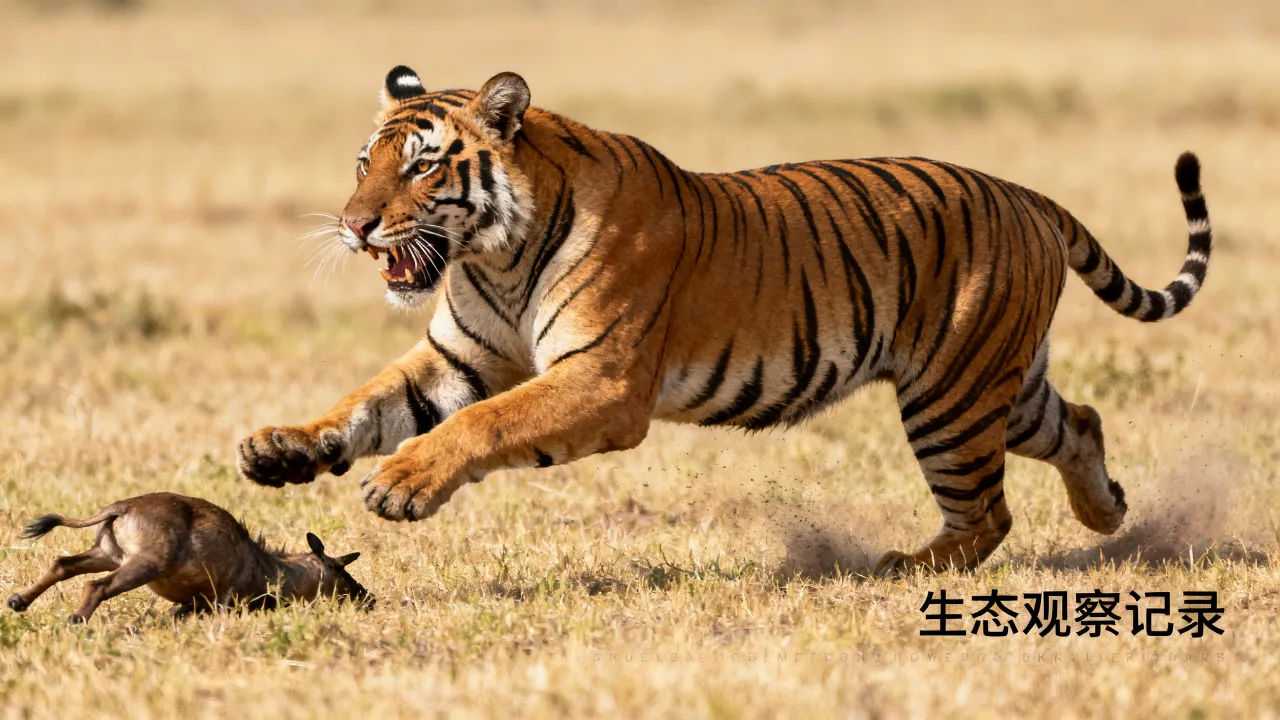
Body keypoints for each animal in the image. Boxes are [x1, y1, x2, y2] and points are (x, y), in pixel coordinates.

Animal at [237, 66, 1213, 576]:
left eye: (422, 166)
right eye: (363, 163)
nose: (355, 226)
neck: (495, 255)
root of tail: (1029, 194)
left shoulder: (603, 379)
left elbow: (488, 423)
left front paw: (400, 486)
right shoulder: (459, 357)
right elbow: (366, 405)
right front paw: (281, 448)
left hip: (952, 394)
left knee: (989, 514)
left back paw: (904, 566)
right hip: (994, 386)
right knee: (1080, 420)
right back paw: (1107, 516)